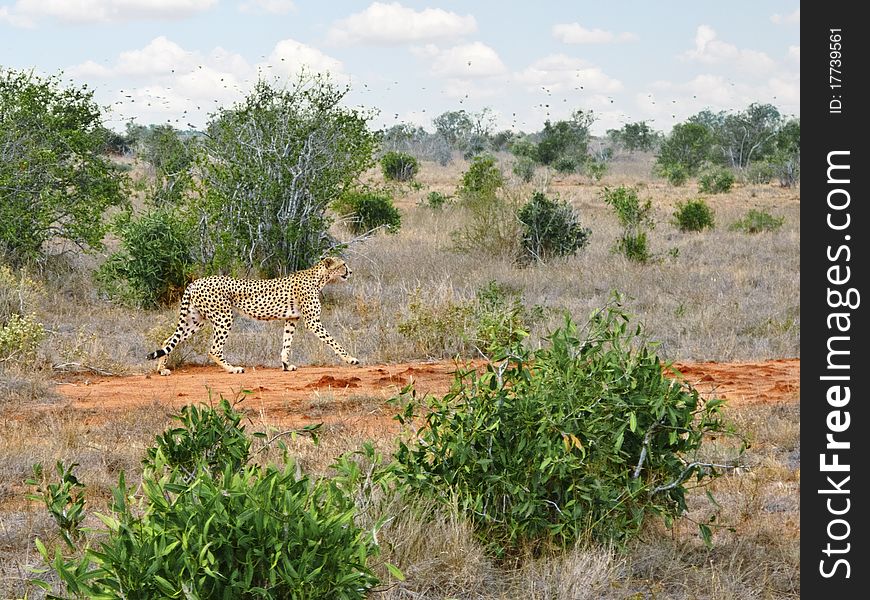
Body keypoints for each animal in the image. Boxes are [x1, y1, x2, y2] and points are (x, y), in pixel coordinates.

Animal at [148, 256, 360, 376]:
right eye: (343, 264)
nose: (350, 271)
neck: (319, 277)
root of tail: (196, 281)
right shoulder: (312, 321)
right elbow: (333, 341)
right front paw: (350, 359)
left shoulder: (292, 319)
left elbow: (286, 343)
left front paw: (285, 365)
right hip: (224, 317)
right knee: (214, 349)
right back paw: (233, 369)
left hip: (196, 320)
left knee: (168, 340)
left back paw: (161, 369)